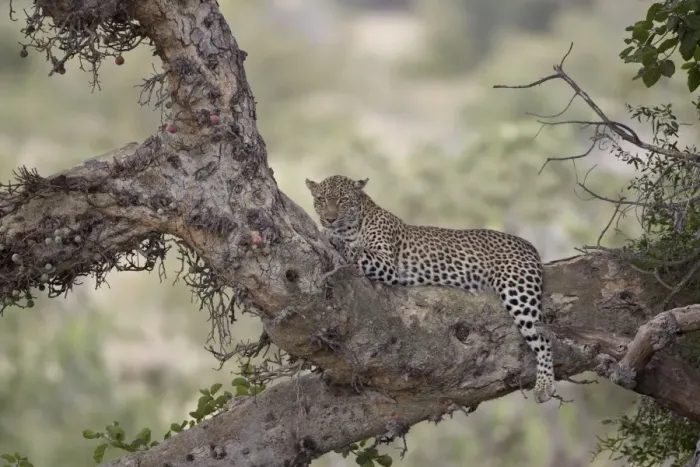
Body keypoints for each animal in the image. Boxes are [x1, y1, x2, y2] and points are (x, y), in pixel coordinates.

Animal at [305, 174, 556, 403]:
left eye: (343, 200)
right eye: (321, 199)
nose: (329, 219)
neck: (353, 226)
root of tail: (527, 244)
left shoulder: (387, 264)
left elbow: (356, 250)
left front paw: (334, 238)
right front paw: (329, 233)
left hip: (518, 291)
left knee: (544, 339)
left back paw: (545, 385)